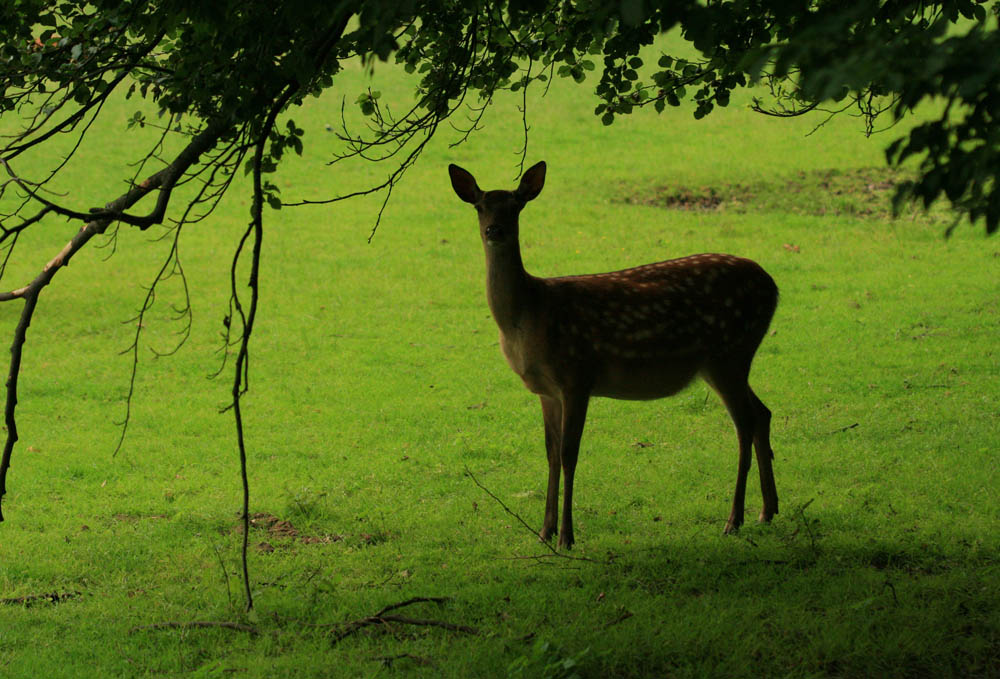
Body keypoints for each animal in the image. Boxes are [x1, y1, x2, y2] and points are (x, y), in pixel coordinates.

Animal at [450, 162, 784, 548]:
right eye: (480, 207)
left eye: (516, 206)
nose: (495, 230)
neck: (526, 318)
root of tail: (773, 286)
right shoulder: (547, 391)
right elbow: (550, 454)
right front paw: (544, 531)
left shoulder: (577, 376)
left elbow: (569, 454)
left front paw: (567, 536)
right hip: (728, 361)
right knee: (762, 413)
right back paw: (768, 510)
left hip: (729, 352)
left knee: (744, 423)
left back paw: (734, 519)